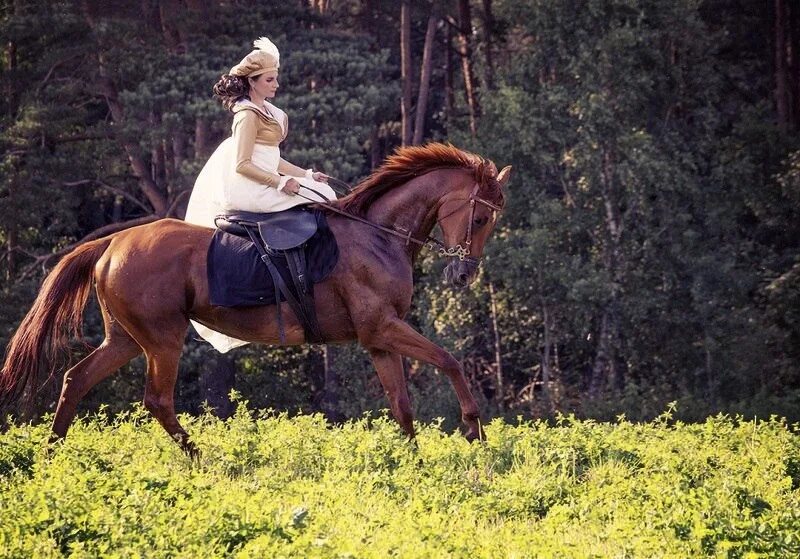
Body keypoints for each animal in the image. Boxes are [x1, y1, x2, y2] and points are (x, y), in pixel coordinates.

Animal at [0, 142, 510, 458]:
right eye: (480, 217)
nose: (464, 273)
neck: (378, 235)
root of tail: (112, 244)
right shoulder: (383, 328)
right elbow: (449, 360)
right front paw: (474, 429)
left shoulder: (378, 340)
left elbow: (401, 405)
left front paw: (413, 463)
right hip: (163, 339)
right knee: (157, 399)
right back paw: (203, 460)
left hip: (125, 338)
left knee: (76, 378)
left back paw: (52, 454)